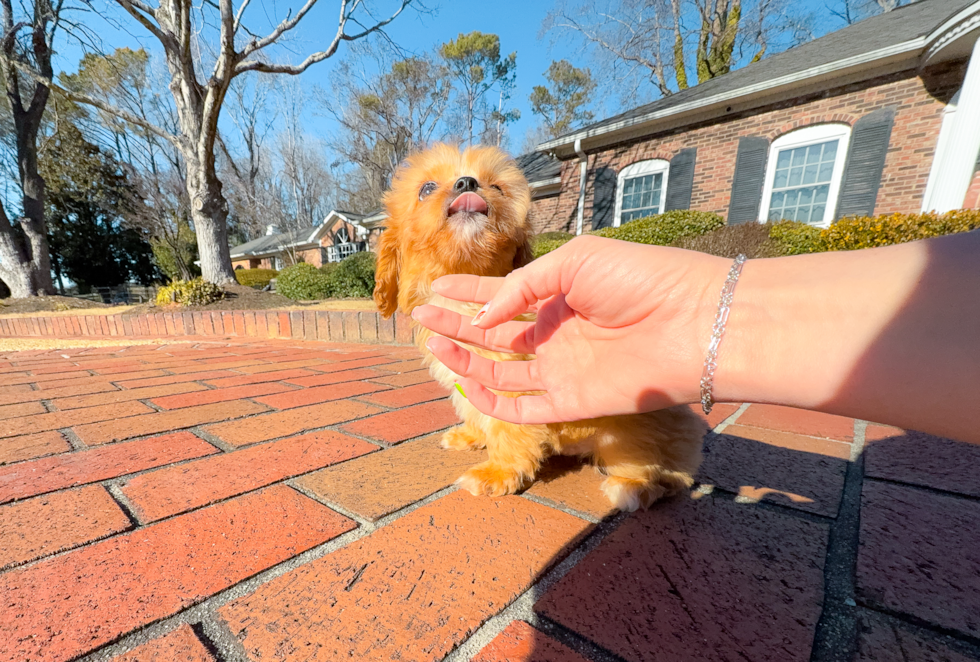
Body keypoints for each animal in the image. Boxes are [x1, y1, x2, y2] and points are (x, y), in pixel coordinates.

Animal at [374, 145, 704, 512]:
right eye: (426, 188)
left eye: (497, 187)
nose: (466, 182)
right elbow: (475, 408)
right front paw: (472, 436)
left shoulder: (513, 384)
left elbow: (507, 428)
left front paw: (498, 472)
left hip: (628, 429)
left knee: (661, 472)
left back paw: (633, 486)